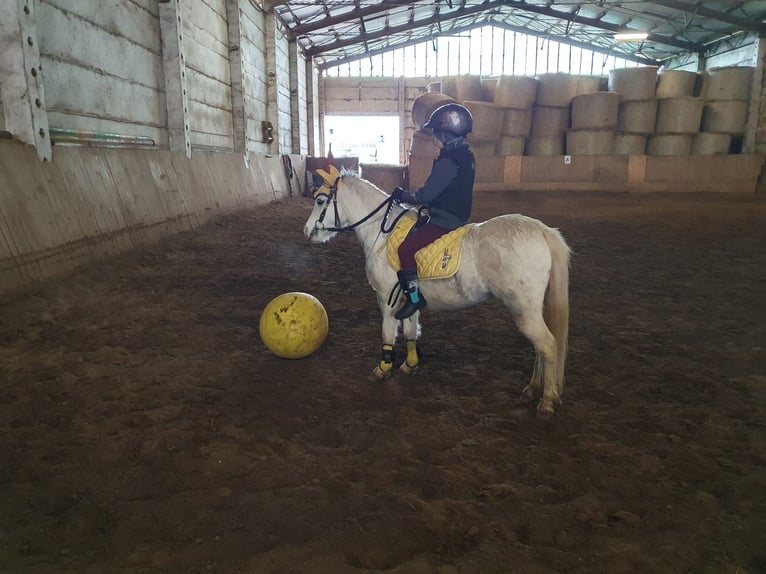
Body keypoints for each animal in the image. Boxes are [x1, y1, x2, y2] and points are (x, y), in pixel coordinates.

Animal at [304, 169, 572, 416]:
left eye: (320, 201)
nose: (307, 231)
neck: (382, 234)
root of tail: (542, 231)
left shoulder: (386, 299)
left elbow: (387, 334)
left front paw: (383, 369)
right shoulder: (407, 300)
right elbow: (411, 330)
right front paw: (410, 366)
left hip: (523, 310)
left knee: (547, 345)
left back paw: (547, 400)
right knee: (540, 349)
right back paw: (533, 390)